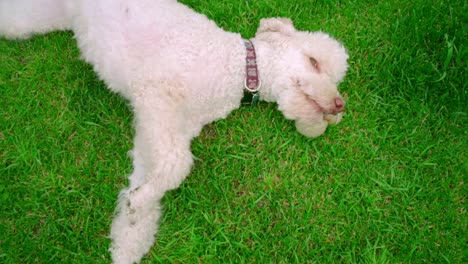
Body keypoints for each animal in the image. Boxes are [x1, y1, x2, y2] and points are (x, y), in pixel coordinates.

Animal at [0, 0, 348, 262]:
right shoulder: (154, 100)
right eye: (314, 61)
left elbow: (149, 180)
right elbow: (179, 165)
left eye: (335, 79)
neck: (237, 70)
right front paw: (139, 204)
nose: (338, 105)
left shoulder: (160, 132)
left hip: (44, 16)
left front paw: (131, 226)